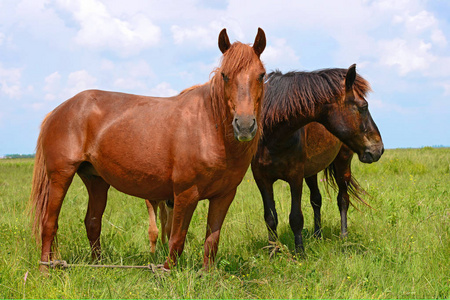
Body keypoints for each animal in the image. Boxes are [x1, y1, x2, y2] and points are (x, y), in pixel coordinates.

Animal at [29, 28, 268, 270]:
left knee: (92, 222)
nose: (244, 125)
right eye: (225, 76)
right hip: (61, 176)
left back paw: (97, 264)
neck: (208, 127)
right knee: (49, 223)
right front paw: (167, 272)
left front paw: (207, 274)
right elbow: (176, 239)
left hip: (96, 180)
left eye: (261, 75)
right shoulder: (185, 193)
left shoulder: (223, 196)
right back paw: (45, 269)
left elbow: (211, 241)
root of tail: (58, 110)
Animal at [251, 65, 384, 253]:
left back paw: (344, 237)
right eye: (363, 106)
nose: (378, 149)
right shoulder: (261, 179)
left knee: (343, 199)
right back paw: (317, 235)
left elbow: (296, 218)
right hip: (311, 172)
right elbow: (270, 218)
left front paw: (300, 253)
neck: (272, 138)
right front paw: (273, 251)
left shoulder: (295, 177)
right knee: (316, 199)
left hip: (342, 164)